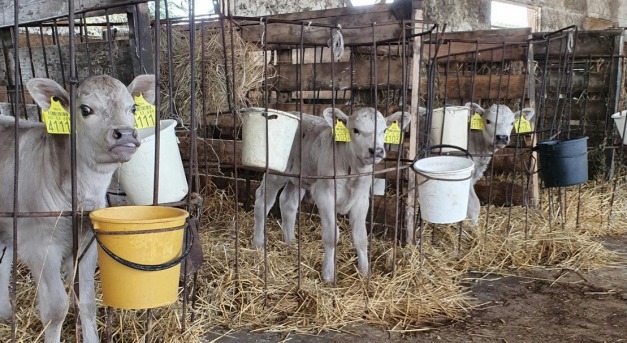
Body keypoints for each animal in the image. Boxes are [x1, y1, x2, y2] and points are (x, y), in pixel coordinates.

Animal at [0, 74, 156, 343]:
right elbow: (55, 309)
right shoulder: (40, 247)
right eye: (85, 110)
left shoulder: (87, 243)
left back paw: (6, 314)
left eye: (133, 108)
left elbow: (88, 303)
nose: (126, 134)